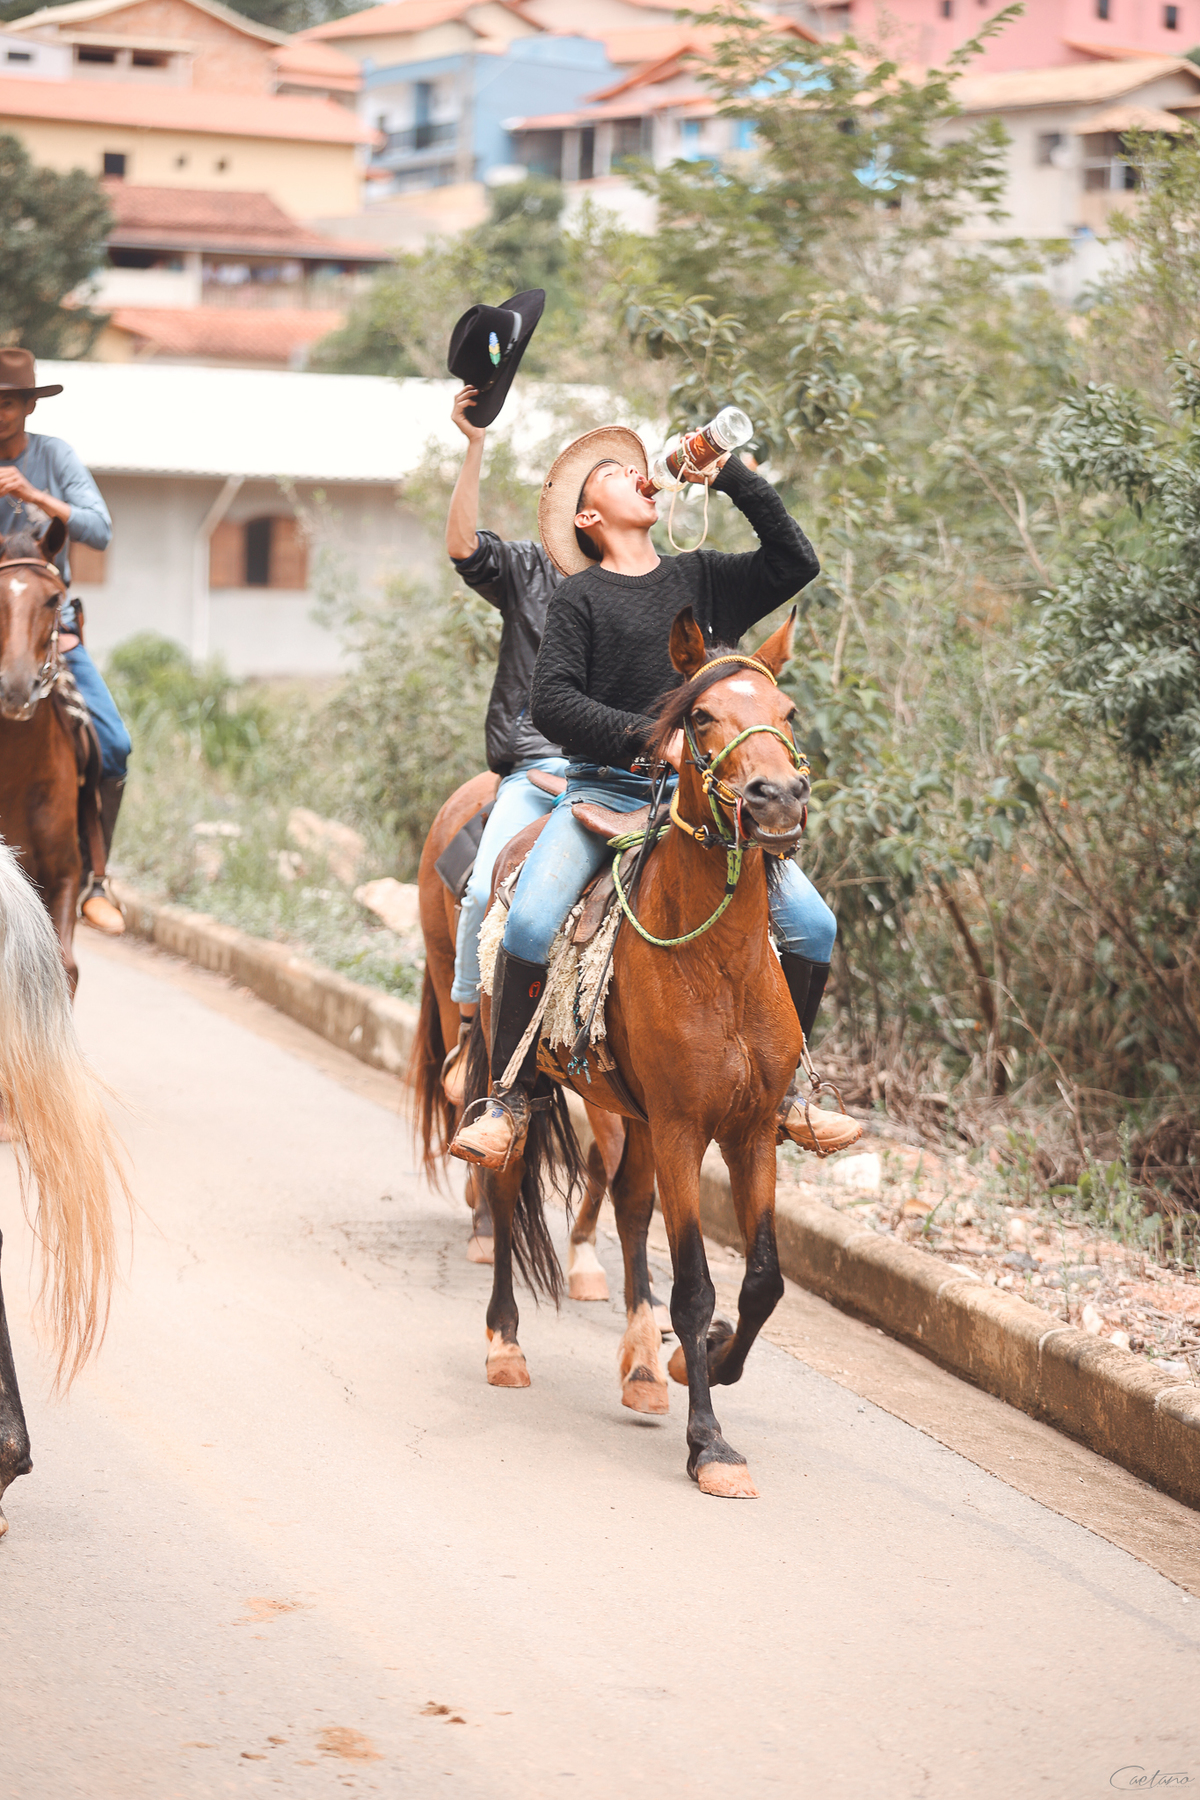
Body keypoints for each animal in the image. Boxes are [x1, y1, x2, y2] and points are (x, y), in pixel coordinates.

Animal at [468, 607, 812, 1499]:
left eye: (788, 711)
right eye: (702, 716)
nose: (777, 799)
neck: (717, 961)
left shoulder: (749, 1131)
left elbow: (763, 1280)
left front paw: (704, 1363)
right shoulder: (689, 1128)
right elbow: (693, 1285)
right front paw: (711, 1445)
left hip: (640, 1117)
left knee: (627, 1209)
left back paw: (644, 1370)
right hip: (520, 1083)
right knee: (506, 1186)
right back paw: (505, 1342)